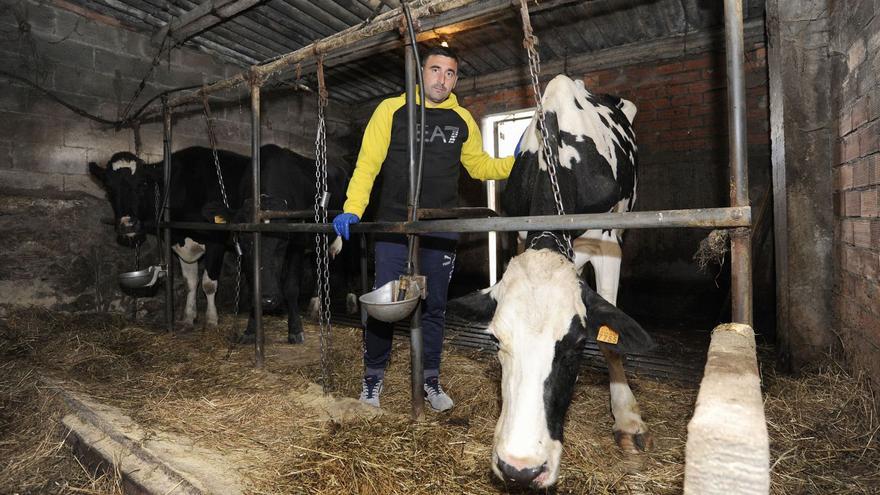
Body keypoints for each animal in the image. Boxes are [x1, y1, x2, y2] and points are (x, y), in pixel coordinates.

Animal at [90, 147, 248, 330]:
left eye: (143, 183)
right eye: (108, 188)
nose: (127, 225)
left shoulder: (216, 241)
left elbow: (208, 284)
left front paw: (211, 320)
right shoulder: (179, 242)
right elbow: (190, 282)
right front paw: (188, 318)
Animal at [454, 75, 652, 490]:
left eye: (576, 346)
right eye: (496, 340)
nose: (520, 468)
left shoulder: (609, 244)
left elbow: (611, 340)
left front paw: (627, 418)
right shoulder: (520, 233)